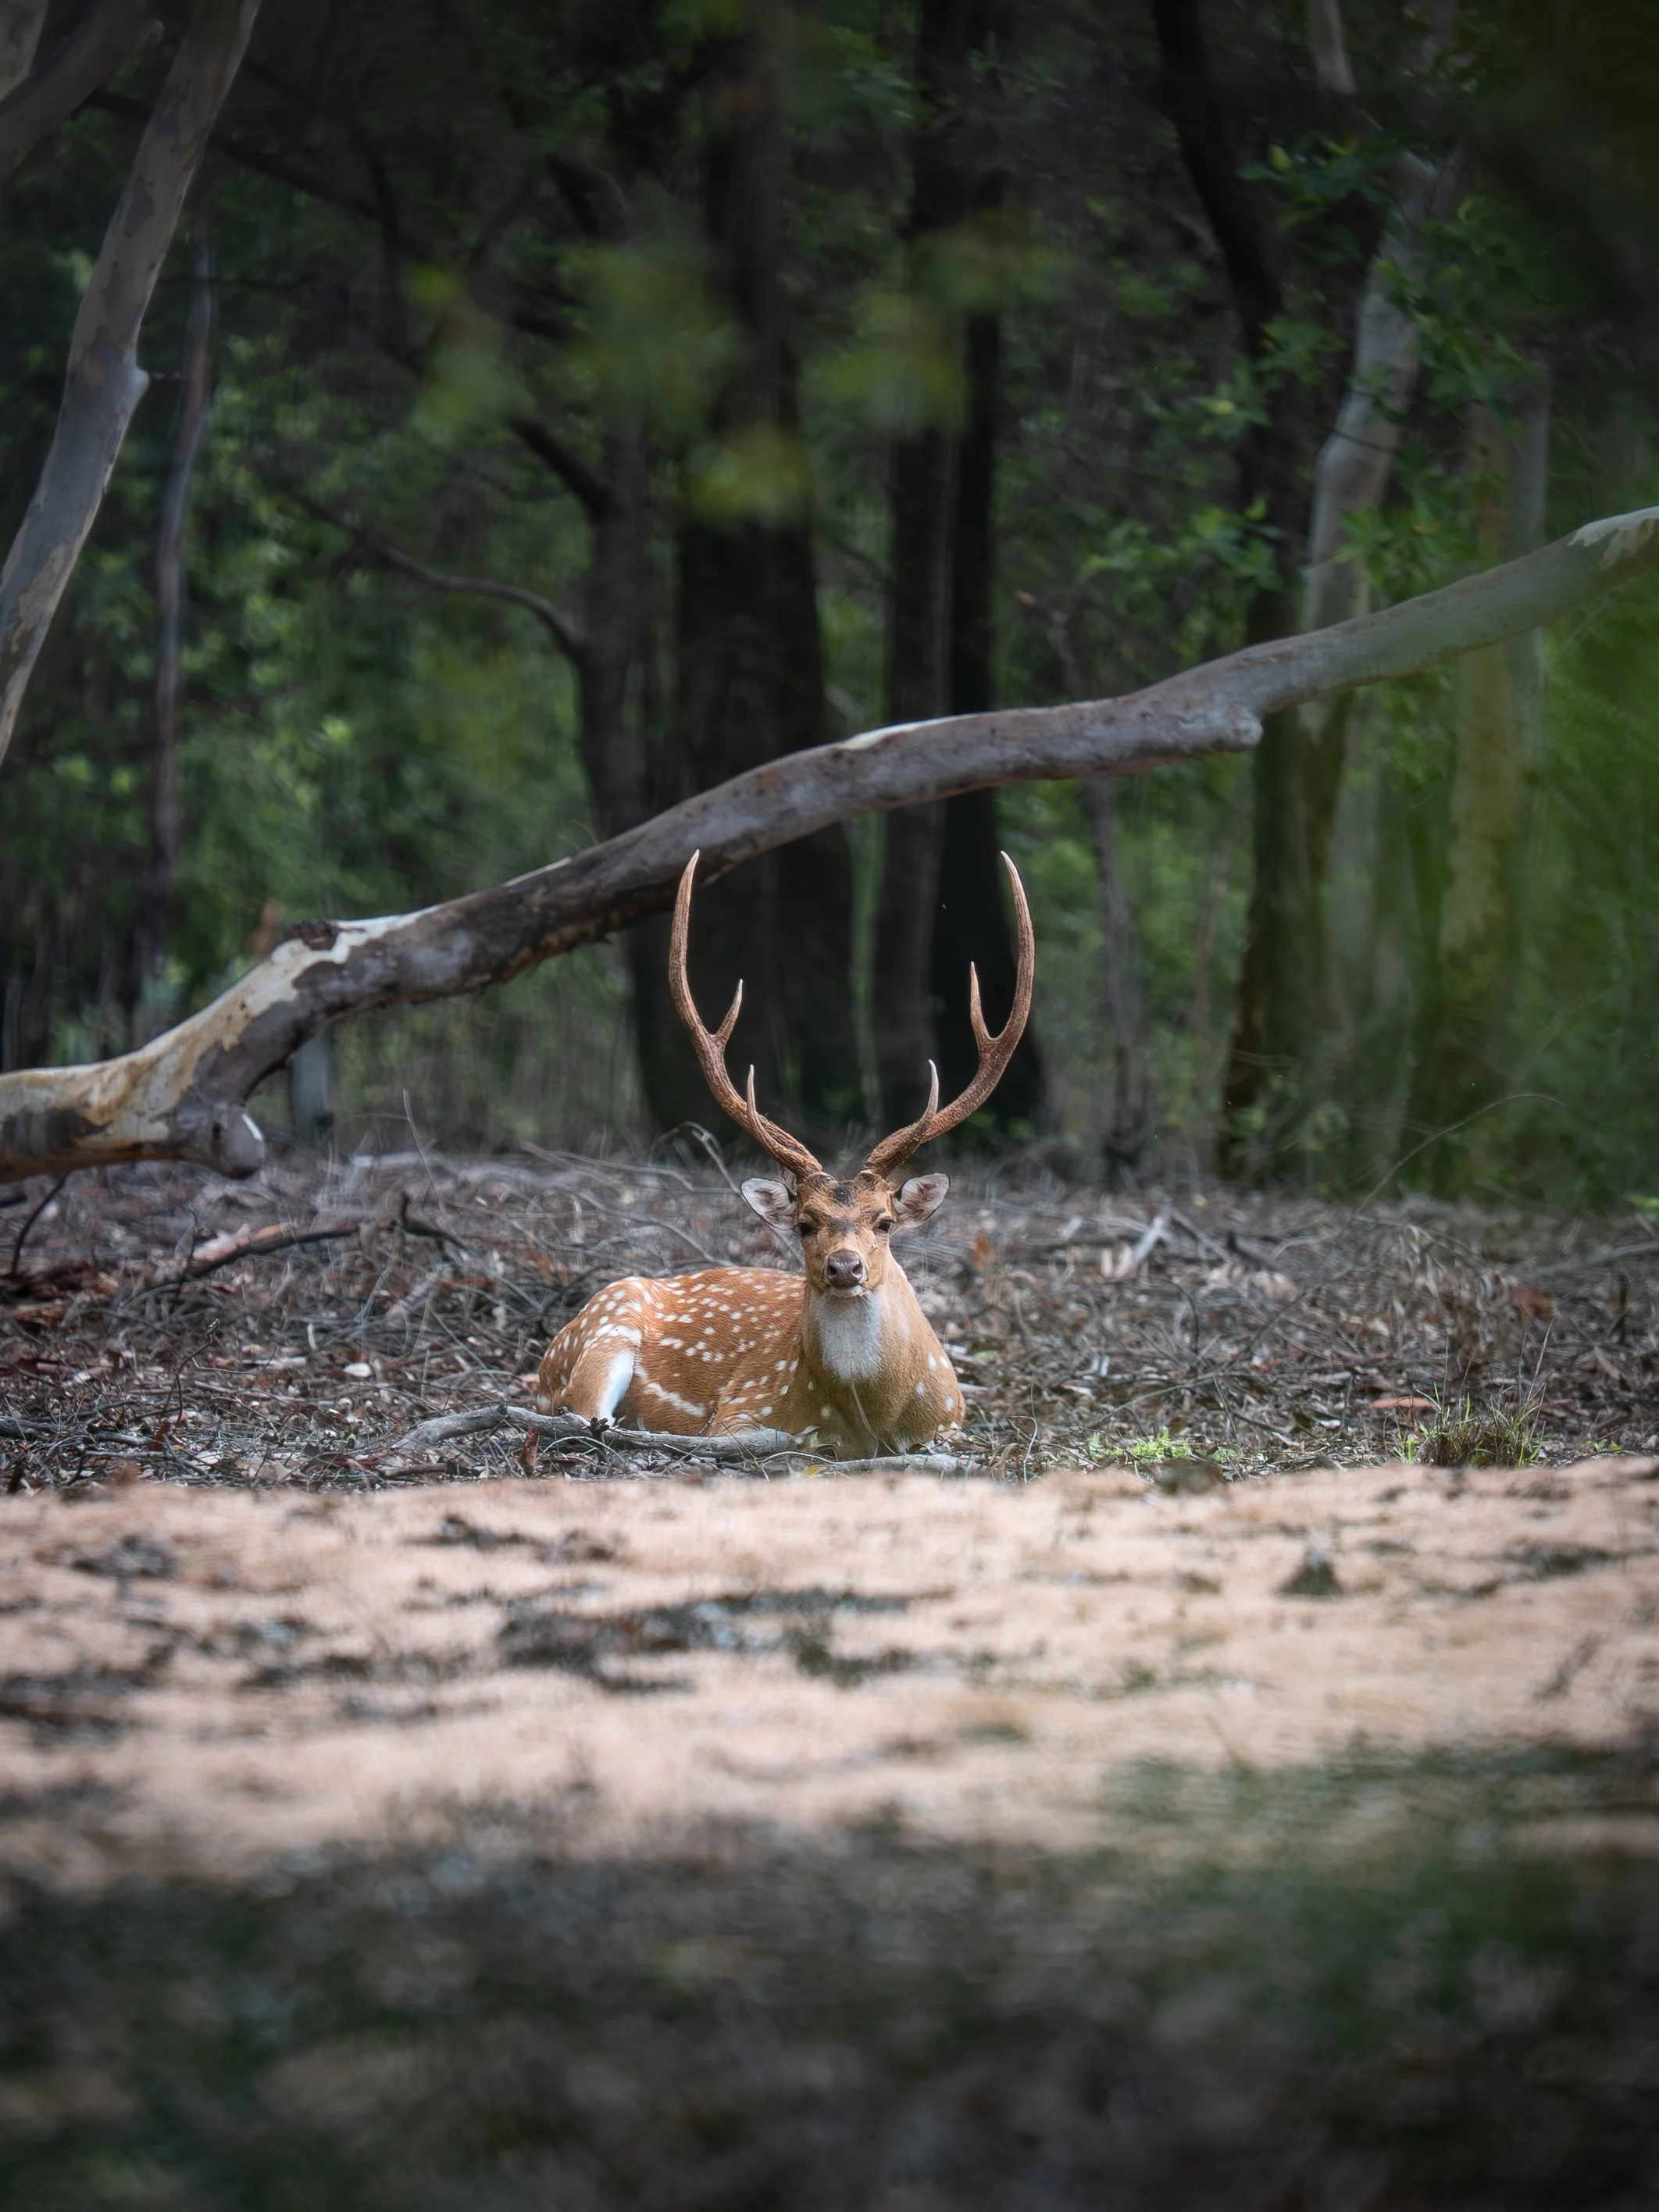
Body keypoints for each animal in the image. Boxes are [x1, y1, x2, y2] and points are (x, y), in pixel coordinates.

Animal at [536, 848, 1035, 1458]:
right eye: (803, 1223)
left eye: (886, 1221)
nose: (844, 1267)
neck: (874, 1420)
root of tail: (545, 1359)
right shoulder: (745, 1405)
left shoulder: (952, 1418)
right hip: (601, 1336)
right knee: (580, 1421)